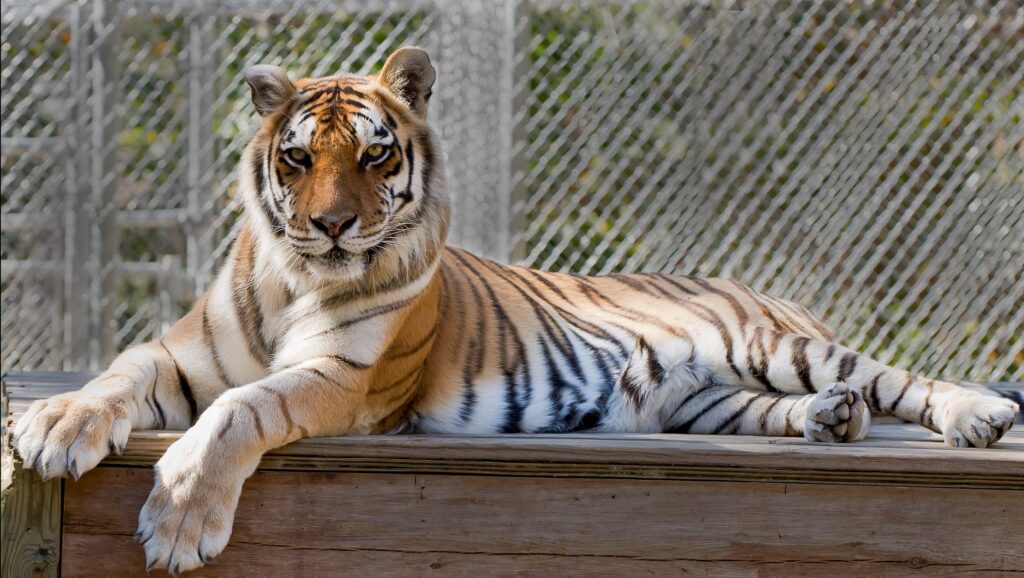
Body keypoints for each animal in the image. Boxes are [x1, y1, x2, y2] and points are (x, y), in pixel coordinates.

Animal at [13, 46, 1020, 575]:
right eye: (297, 159)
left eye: (376, 156)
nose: (332, 226)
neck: (295, 276)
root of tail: (758, 290)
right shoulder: (180, 355)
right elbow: (115, 376)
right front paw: (52, 426)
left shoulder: (344, 379)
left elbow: (238, 412)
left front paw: (179, 522)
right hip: (710, 400)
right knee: (789, 410)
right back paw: (831, 422)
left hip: (772, 346)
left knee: (893, 378)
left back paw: (976, 414)